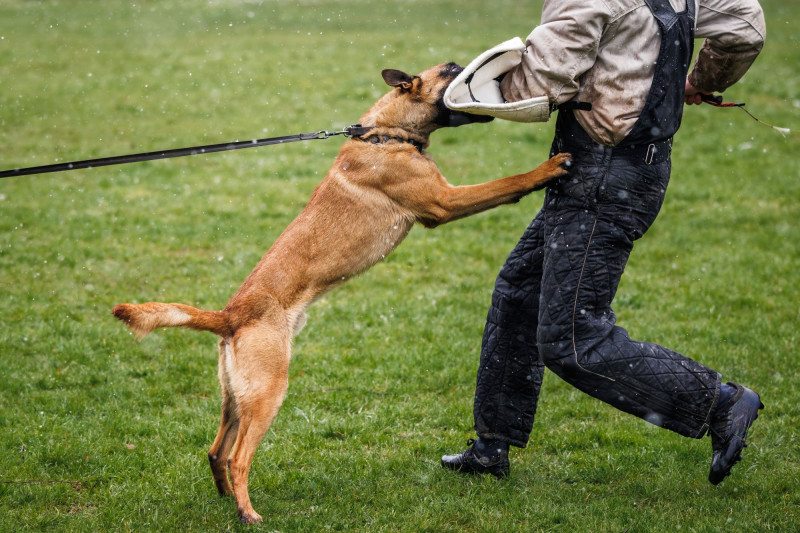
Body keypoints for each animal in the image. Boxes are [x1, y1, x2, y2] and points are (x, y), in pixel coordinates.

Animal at [112, 63, 572, 524]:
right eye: (450, 70)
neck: (384, 134)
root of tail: (229, 316)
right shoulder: (444, 202)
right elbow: (508, 182)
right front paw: (548, 167)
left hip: (236, 398)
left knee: (215, 451)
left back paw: (228, 501)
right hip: (267, 393)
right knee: (238, 457)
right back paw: (249, 514)